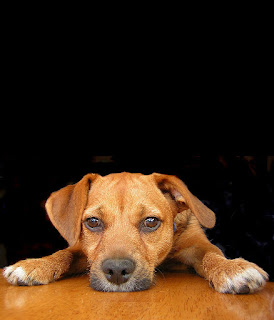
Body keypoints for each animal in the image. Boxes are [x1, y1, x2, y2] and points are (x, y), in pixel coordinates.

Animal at [2, 172, 268, 292]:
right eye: (93, 222)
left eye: (150, 222)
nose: (117, 271)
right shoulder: (83, 253)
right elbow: (64, 253)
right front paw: (36, 264)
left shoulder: (197, 246)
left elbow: (212, 256)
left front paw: (231, 268)